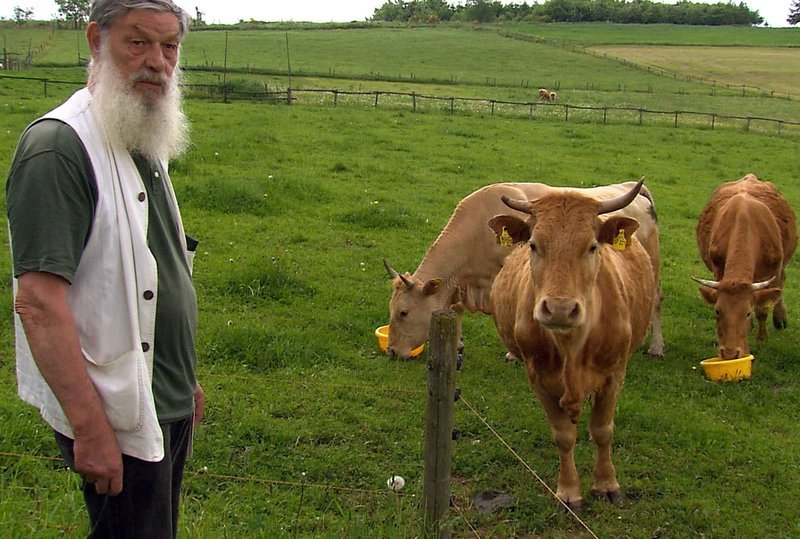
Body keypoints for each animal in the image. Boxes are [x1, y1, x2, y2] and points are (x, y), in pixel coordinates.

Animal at [382, 179, 664, 360]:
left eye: (403, 313)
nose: (392, 351)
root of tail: (632, 188)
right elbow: (456, 309)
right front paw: (458, 344)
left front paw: (512, 353)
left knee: (656, 301)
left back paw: (656, 347)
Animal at [488, 181, 656, 516]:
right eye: (533, 245)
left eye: (592, 246)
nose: (560, 309)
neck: (572, 346)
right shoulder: (538, 379)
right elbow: (563, 436)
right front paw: (569, 491)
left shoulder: (614, 376)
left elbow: (603, 430)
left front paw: (607, 484)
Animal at [692, 174, 796, 358]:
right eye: (717, 311)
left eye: (747, 313)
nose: (730, 353)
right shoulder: (719, 272)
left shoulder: (771, 273)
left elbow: (762, 309)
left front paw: (762, 339)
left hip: (781, 267)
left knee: (781, 284)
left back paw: (780, 318)